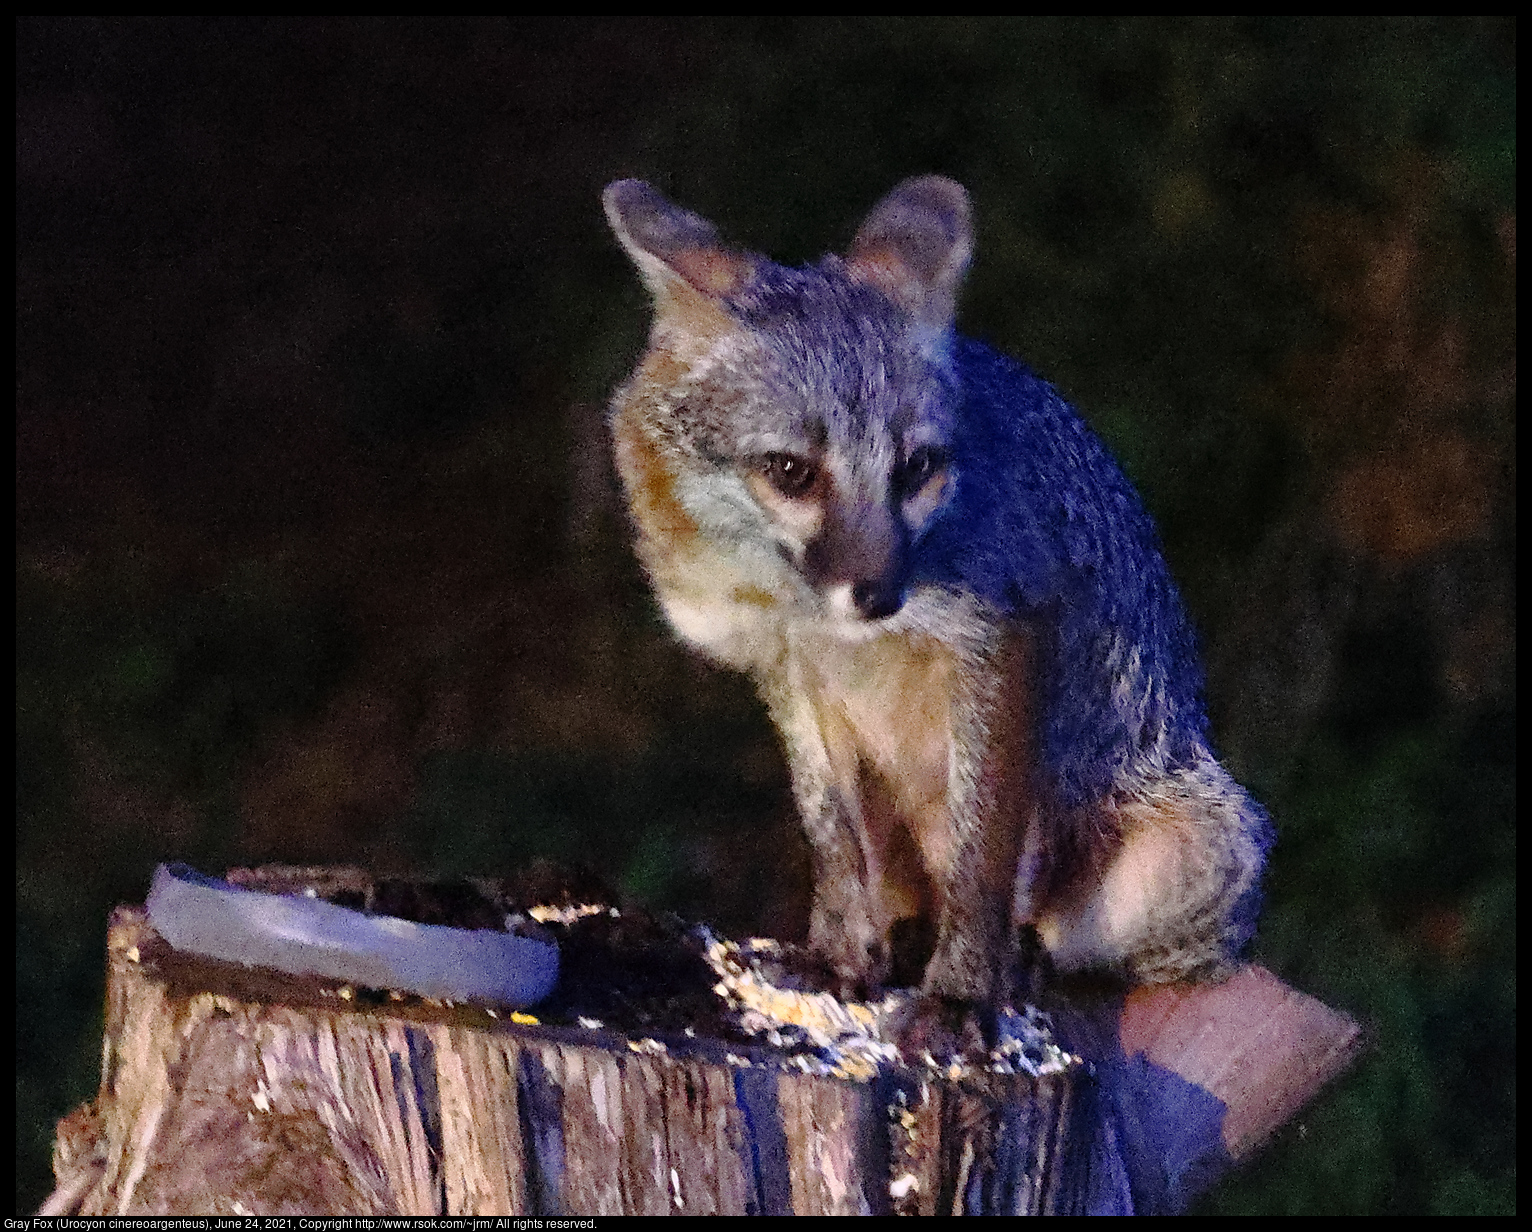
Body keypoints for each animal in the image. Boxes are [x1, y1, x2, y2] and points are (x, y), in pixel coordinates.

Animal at [603, 177, 1274, 1029]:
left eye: (917, 467)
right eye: (791, 472)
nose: (879, 595)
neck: (802, 607)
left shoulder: (997, 636)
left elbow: (982, 853)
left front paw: (959, 991)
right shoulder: (786, 667)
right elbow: (831, 837)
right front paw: (840, 954)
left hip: (1198, 848)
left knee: (1071, 942)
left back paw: (1018, 963)